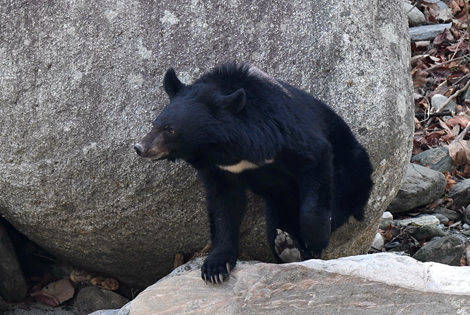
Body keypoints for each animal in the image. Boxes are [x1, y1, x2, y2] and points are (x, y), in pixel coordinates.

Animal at [134, 63, 372, 286]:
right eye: (154, 124)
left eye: (170, 129)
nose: (140, 147)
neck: (224, 148)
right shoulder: (220, 170)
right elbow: (223, 207)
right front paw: (215, 268)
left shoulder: (288, 135)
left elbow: (314, 164)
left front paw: (314, 241)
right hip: (279, 202)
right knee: (276, 223)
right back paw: (288, 246)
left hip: (351, 173)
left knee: (340, 202)